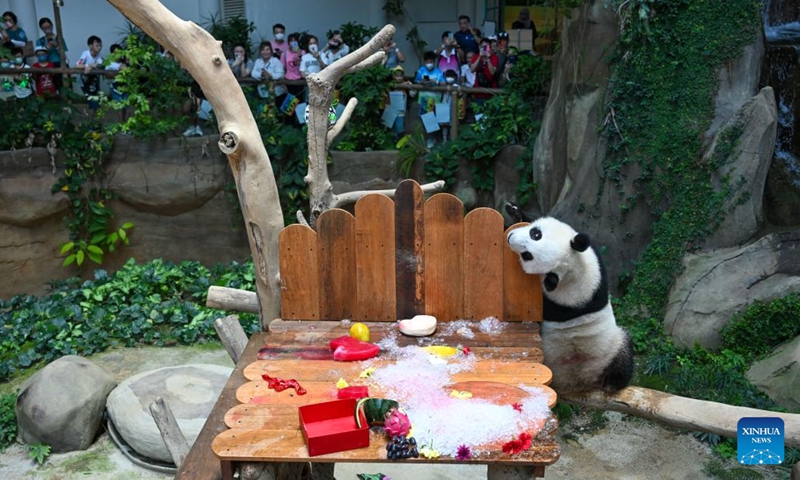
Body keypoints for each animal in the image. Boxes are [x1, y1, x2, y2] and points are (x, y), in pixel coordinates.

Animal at [506, 208, 632, 392]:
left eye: (527, 255)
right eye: (536, 234)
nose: (510, 237)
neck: (572, 267)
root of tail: (580, 381)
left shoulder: (558, 303)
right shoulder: (599, 271)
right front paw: (514, 211)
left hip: (612, 345)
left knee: (625, 350)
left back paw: (612, 382)